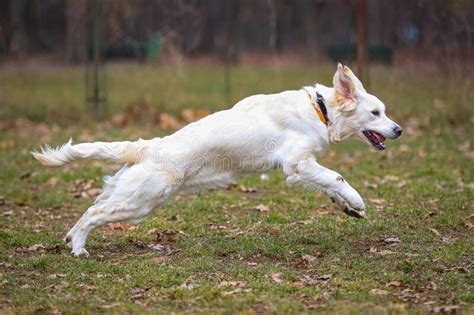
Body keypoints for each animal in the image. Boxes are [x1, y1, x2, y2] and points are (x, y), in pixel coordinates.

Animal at [32, 63, 404, 256]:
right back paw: (78, 249)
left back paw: (70, 240)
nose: (398, 129)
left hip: (129, 194)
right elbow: (337, 178)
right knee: (93, 214)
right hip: (141, 201)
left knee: (90, 208)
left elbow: (329, 186)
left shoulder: (303, 168)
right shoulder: (296, 163)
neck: (320, 109)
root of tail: (148, 146)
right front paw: (357, 200)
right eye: (376, 113)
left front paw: (348, 207)